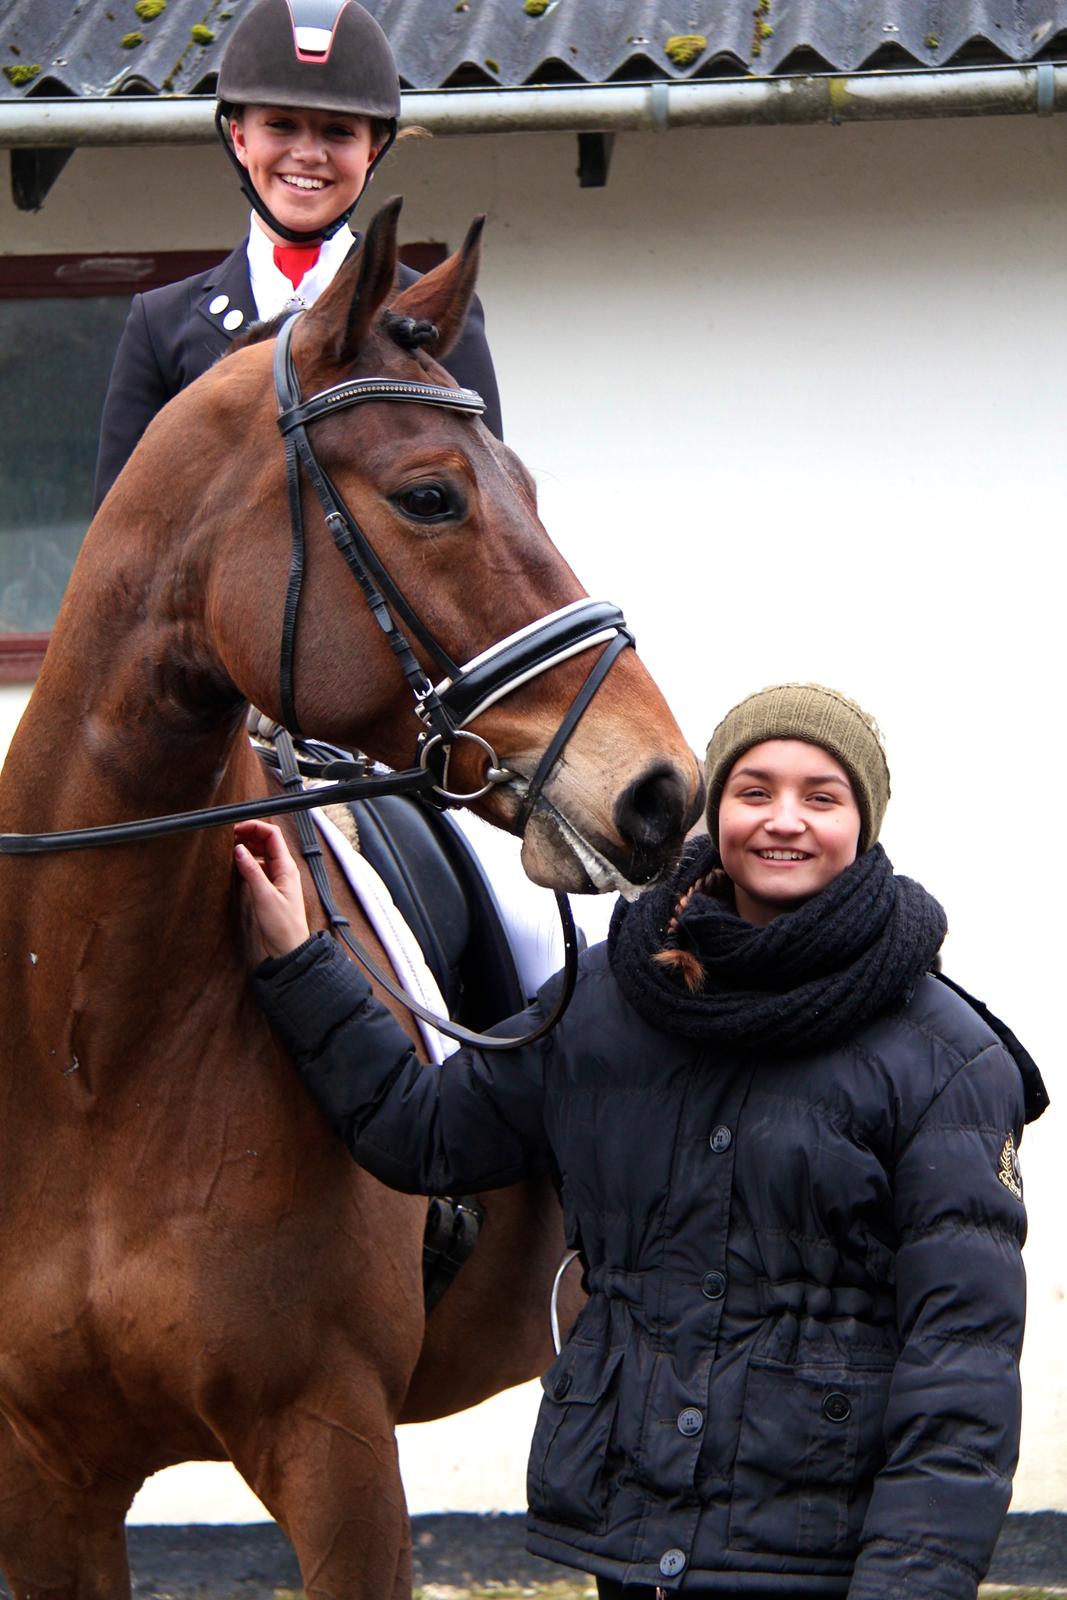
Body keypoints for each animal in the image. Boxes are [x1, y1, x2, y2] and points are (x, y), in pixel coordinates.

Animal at [0, 203, 700, 1600]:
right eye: (430, 496)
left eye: (526, 486)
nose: (660, 791)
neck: (87, 1038)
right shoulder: (45, 1474)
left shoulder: (333, 1441)